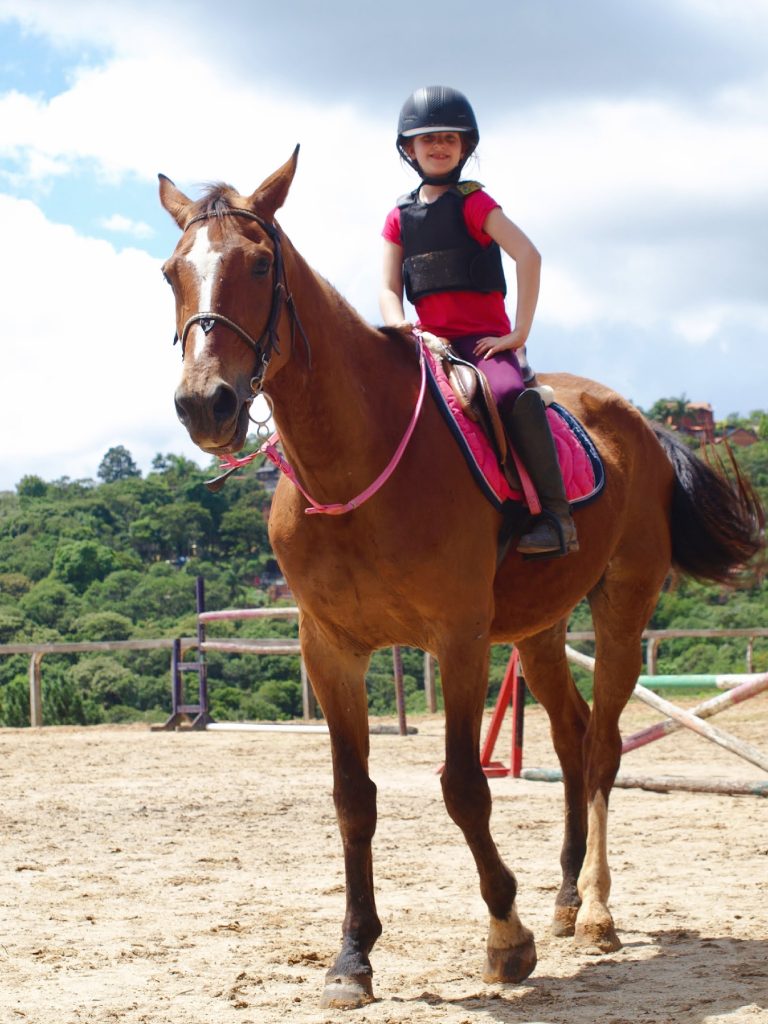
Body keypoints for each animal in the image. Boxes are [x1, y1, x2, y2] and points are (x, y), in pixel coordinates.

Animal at [158, 149, 764, 1009]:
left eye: (260, 263)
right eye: (172, 270)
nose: (204, 404)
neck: (356, 457)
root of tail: (642, 423)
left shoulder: (459, 638)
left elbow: (464, 787)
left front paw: (506, 940)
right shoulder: (330, 649)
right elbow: (353, 797)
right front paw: (353, 957)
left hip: (622, 605)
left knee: (604, 746)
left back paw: (598, 911)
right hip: (540, 630)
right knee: (572, 738)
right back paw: (566, 897)